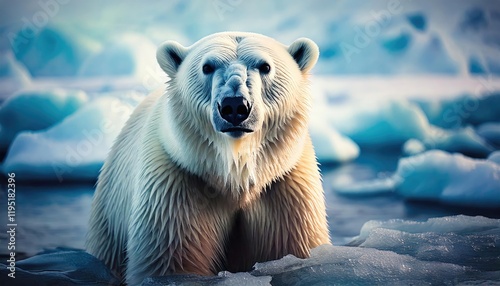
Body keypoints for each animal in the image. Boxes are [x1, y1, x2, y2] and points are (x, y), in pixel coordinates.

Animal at [86, 31, 328, 284]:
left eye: (265, 66)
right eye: (207, 66)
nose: (235, 105)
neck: (234, 174)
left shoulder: (285, 188)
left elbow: (290, 249)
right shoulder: (177, 185)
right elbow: (171, 261)